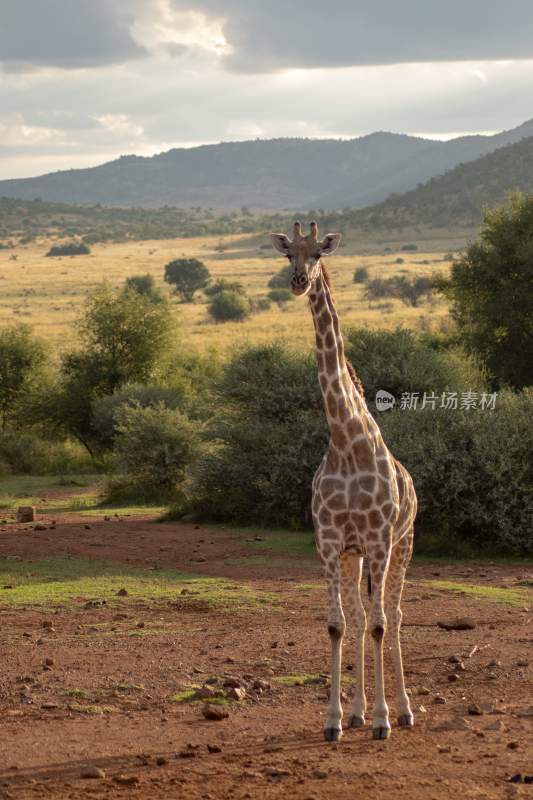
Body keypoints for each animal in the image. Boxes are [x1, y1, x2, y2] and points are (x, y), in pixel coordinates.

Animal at [270, 220, 416, 744]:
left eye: (318, 253)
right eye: (288, 253)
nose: (298, 281)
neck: (345, 439)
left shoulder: (378, 538)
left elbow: (379, 625)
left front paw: (384, 720)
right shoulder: (332, 540)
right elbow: (337, 624)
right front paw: (335, 719)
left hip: (403, 543)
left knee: (391, 616)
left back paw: (403, 710)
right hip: (357, 556)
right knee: (358, 615)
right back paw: (356, 712)